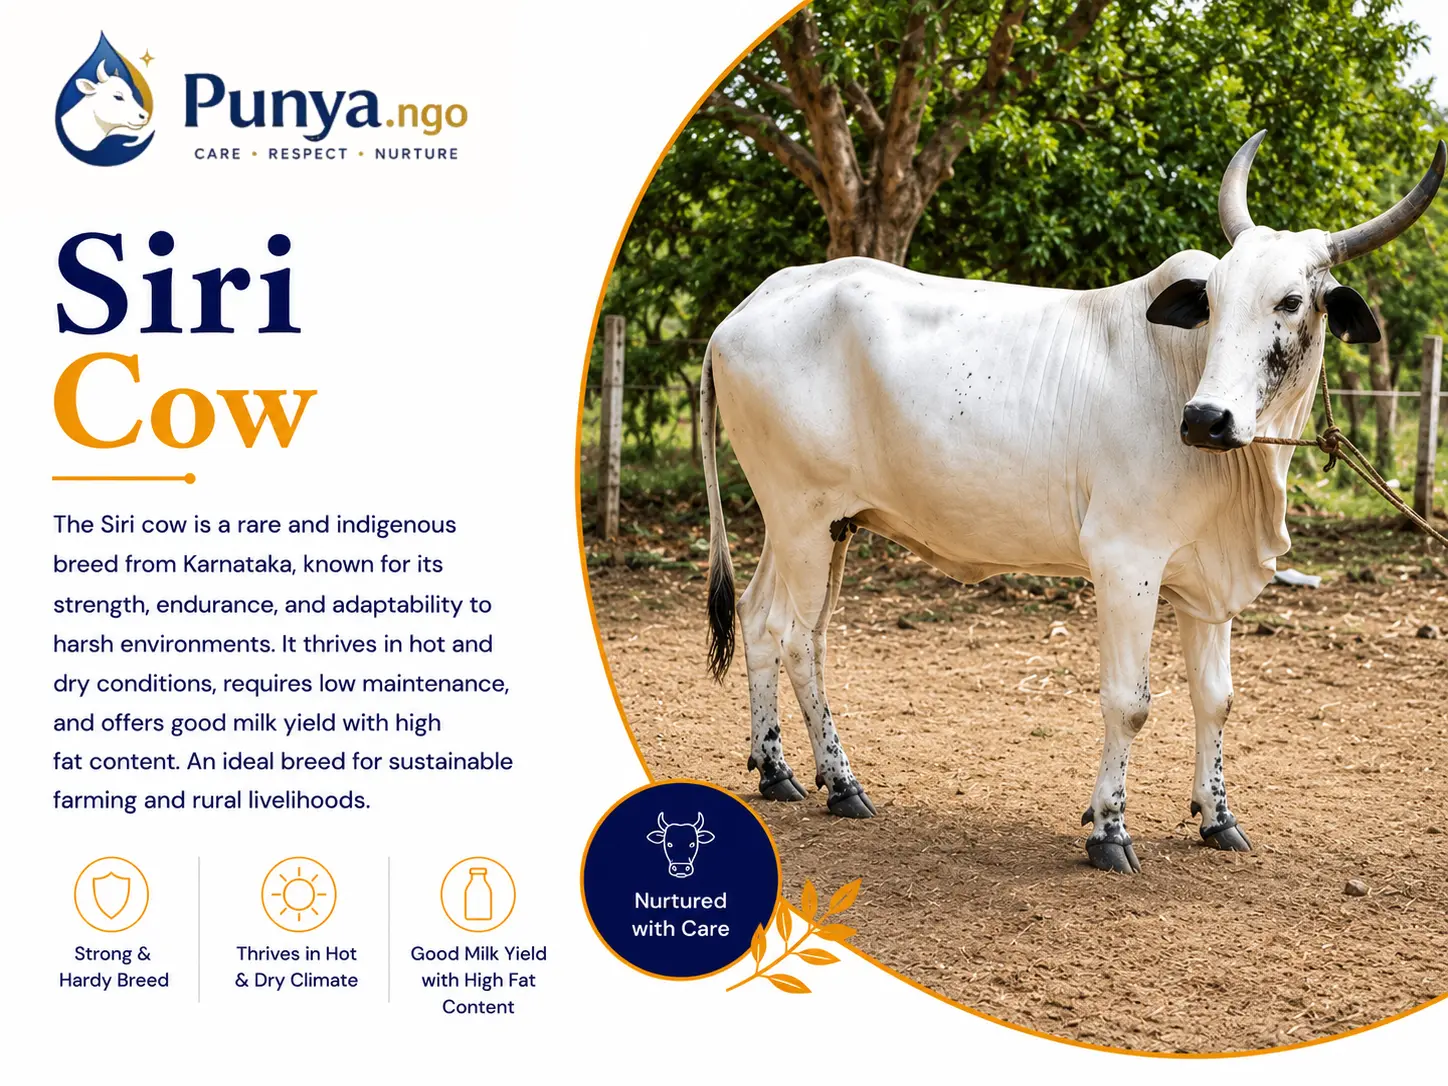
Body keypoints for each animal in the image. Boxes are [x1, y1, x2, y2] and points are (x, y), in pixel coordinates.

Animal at [699, 132, 1444, 873]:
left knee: (764, 621)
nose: (1206, 420)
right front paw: (1109, 830)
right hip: (803, 517)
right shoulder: (1125, 561)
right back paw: (842, 782)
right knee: (799, 639)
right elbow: (1130, 703)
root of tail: (743, 311)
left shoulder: (1206, 579)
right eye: (1214, 300)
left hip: (816, 525)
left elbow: (1216, 700)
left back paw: (777, 771)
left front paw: (1218, 817)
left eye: (1290, 301)